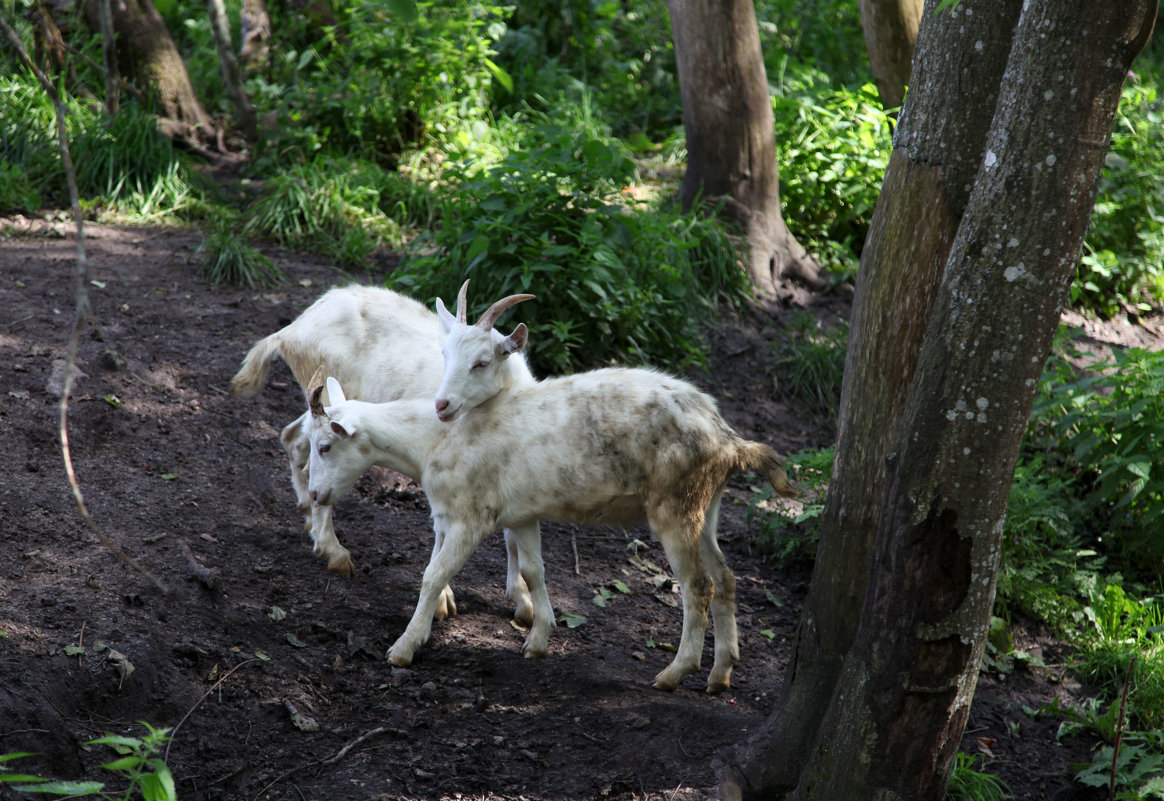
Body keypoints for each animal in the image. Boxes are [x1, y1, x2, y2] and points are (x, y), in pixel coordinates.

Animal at [230, 285, 535, 624]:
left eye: (482, 362)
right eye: (445, 354)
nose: (441, 404)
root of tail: (291, 330)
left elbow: (512, 533)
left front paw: (522, 601)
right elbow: (443, 529)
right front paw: (443, 600)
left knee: (293, 437)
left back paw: (309, 515)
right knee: (312, 458)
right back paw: (333, 550)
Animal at [304, 300, 796, 689]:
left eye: (325, 445)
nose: (315, 493)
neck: (430, 441)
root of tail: (729, 439)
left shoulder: (471, 517)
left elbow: (433, 575)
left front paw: (403, 649)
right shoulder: (520, 514)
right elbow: (533, 569)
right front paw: (538, 639)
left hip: (676, 507)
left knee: (698, 585)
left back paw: (674, 674)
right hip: (707, 507)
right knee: (726, 577)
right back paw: (720, 674)